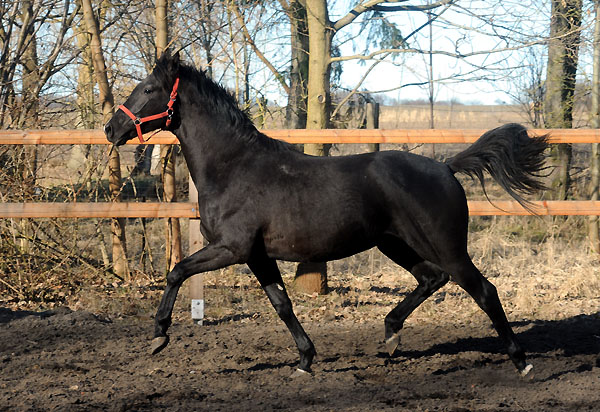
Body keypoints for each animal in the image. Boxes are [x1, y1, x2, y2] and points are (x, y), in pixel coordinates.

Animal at [105, 51, 548, 376]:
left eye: (148, 88)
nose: (111, 129)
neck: (234, 167)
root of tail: (446, 167)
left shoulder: (231, 248)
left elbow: (176, 271)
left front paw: (159, 336)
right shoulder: (258, 255)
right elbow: (282, 304)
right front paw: (305, 360)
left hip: (446, 246)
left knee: (483, 290)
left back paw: (521, 363)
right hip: (394, 244)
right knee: (431, 278)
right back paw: (390, 335)